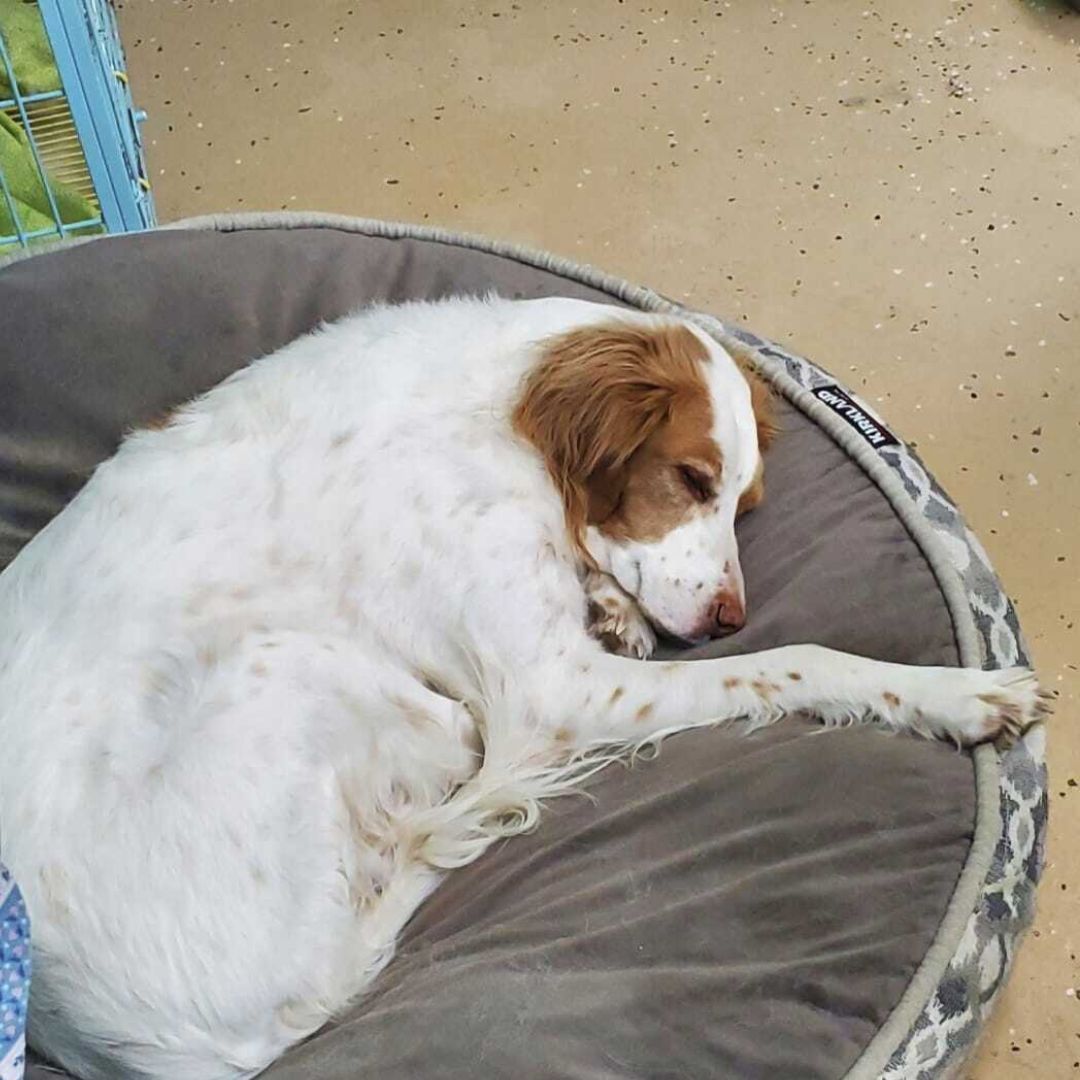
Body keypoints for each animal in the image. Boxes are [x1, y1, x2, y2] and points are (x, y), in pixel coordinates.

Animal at [0, 295, 1045, 1080]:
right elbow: (806, 659)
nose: (726, 619)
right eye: (690, 478)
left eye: (743, 502)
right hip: (313, 674)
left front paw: (614, 601)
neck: (496, 407)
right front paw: (963, 693)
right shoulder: (555, 687)